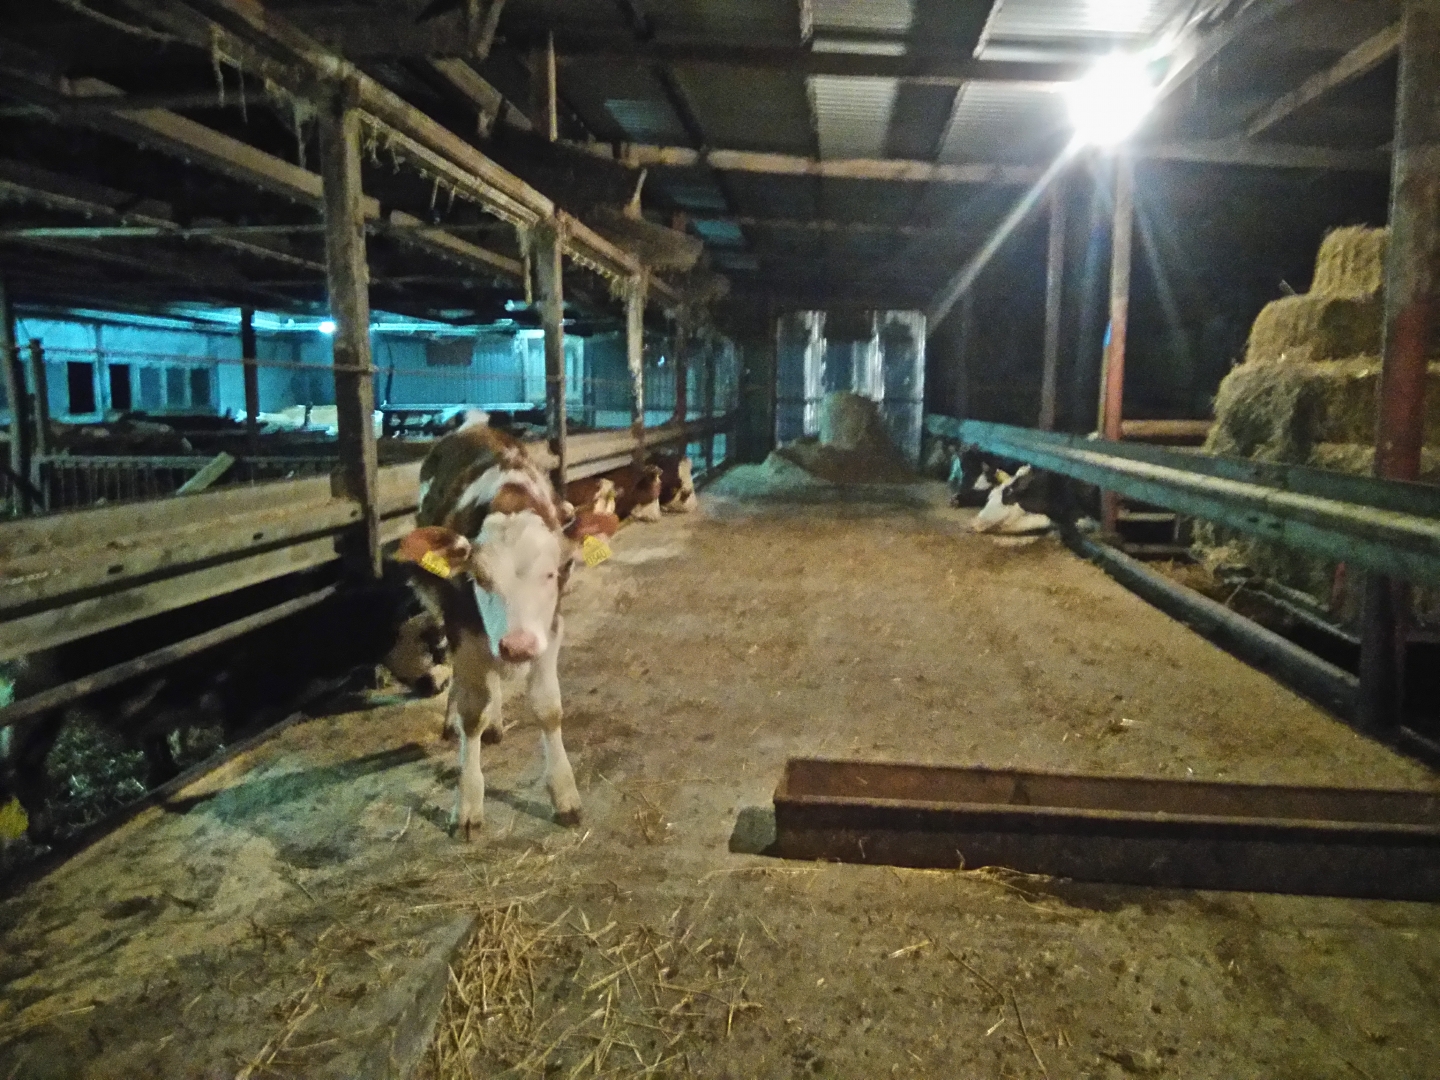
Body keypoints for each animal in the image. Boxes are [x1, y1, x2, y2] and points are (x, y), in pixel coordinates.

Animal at [397, 419, 582, 838]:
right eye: (479, 578)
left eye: (552, 574)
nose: (518, 647)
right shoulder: (463, 627)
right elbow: (471, 714)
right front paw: (467, 802)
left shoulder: (550, 627)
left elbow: (548, 708)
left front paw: (564, 793)